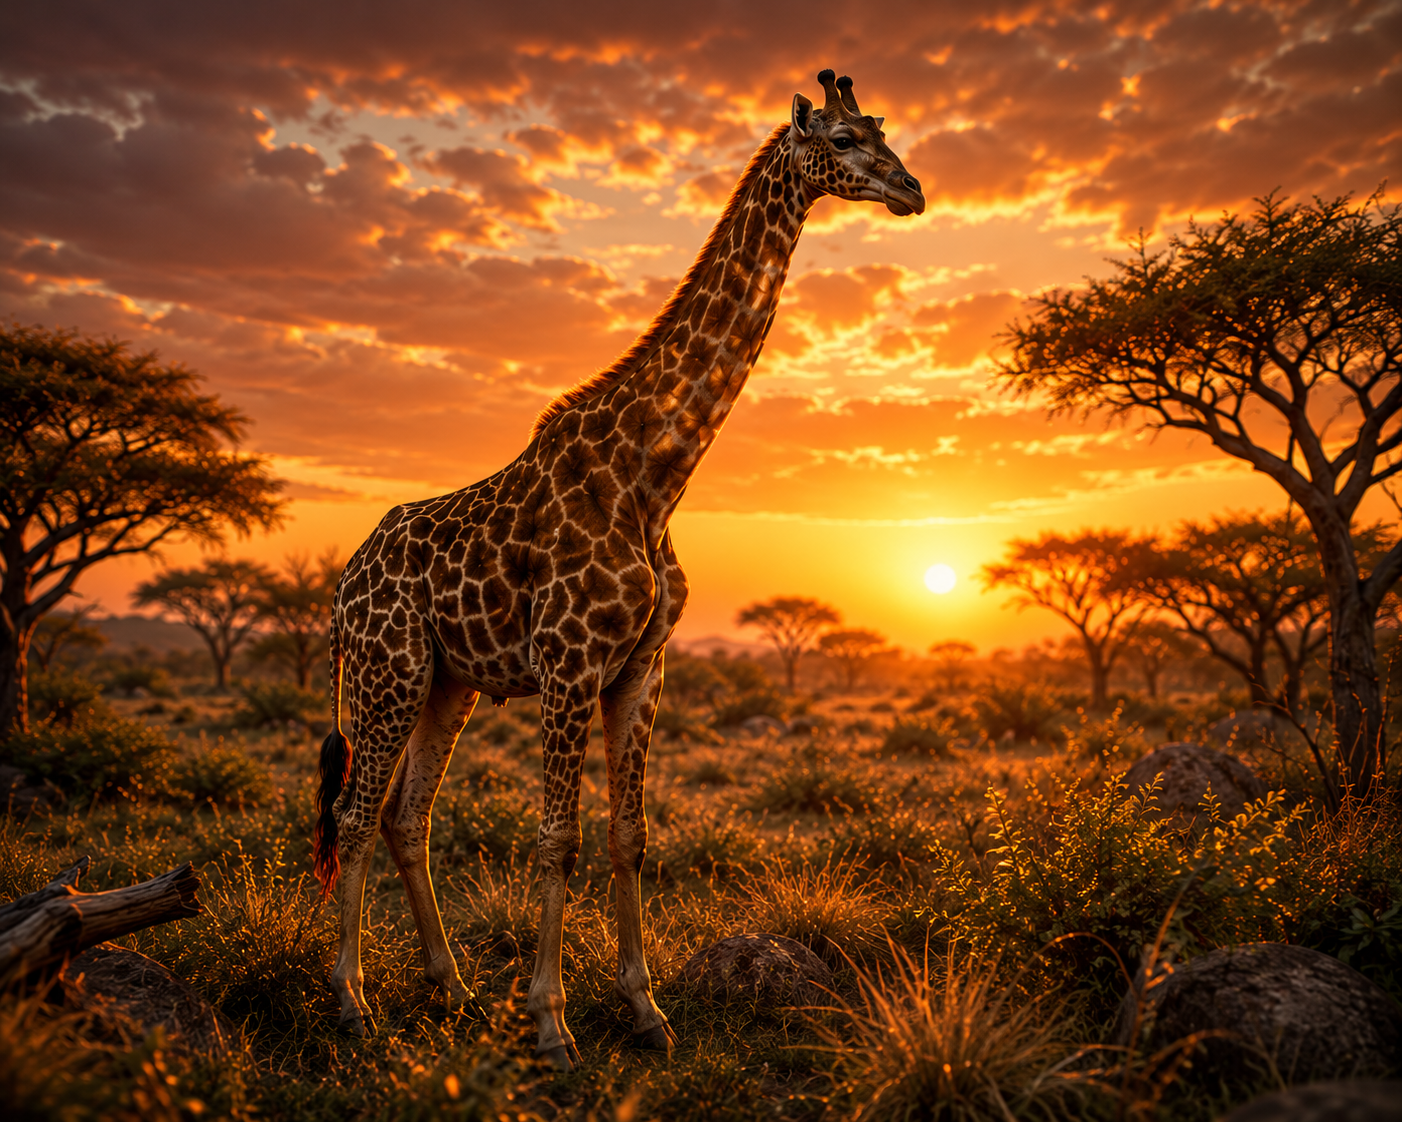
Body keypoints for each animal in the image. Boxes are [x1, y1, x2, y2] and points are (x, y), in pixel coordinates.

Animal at [312, 69, 925, 1069]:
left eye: (881, 130)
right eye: (840, 140)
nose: (913, 191)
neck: (653, 477)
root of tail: (341, 588)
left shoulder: (641, 668)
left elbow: (630, 836)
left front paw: (645, 1011)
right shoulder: (569, 666)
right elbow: (557, 838)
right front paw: (552, 1023)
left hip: (449, 681)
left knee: (408, 815)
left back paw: (452, 988)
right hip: (387, 668)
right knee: (359, 816)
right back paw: (353, 1003)